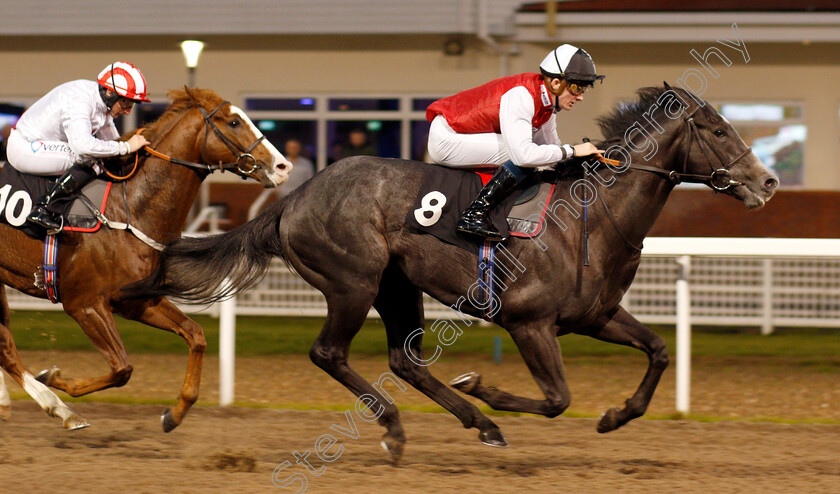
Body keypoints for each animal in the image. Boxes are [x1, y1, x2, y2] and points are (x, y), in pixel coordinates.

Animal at [0, 87, 292, 430]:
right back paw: (58, 407)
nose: (283, 166)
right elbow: (122, 369)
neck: (127, 210)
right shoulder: (84, 305)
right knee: (7, 348)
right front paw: (54, 378)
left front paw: (175, 413)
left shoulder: (137, 300)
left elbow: (196, 336)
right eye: (234, 121)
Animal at [126, 86, 780, 464]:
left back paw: (476, 424)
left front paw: (616, 416)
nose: (768, 181)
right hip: (353, 282)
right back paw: (402, 427)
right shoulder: (530, 322)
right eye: (718, 130)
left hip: (397, 286)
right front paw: (485, 386)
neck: (594, 215)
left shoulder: (595, 316)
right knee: (330, 353)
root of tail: (294, 199)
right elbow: (556, 398)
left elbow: (659, 351)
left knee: (403, 360)